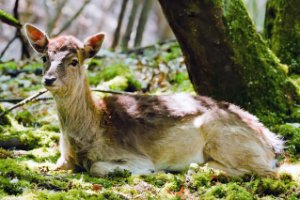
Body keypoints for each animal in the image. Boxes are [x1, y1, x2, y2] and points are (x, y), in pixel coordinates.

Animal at [24, 23, 284, 177]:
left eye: (74, 61)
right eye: (44, 58)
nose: (49, 79)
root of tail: (271, 141)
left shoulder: (137, 158)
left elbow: (97, 167)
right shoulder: (63, 156)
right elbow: (48, 164)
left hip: (225, 139)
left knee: (271, 172)